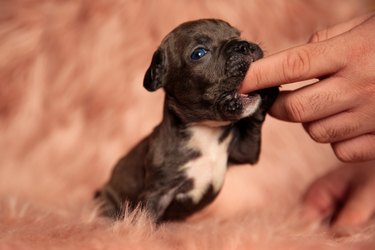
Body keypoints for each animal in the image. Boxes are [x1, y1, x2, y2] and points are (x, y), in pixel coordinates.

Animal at [96, 19, 280, 223]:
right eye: (198, 53)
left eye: (238, 35)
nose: (244, 45)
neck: (206, 130)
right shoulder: (157, 193)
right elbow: (144, 220)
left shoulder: (243, 151)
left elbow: (253, 126)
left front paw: (265, 92)